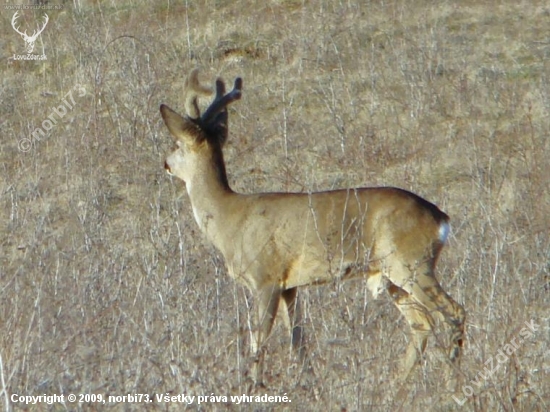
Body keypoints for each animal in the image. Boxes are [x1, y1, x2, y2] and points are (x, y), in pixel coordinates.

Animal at [160, 68, 466, 386]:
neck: (228, 219)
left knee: (453, 312)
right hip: (393, 276)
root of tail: (440, 218)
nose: (165, 163)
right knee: (422, 323)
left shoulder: (265, 277)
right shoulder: (289, 286)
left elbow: (260, 339)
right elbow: (298, 340)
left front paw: (254, 384)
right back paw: (397, 385)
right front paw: (307, 384)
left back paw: (451, 377)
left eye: (177, 144)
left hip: (411, 263)